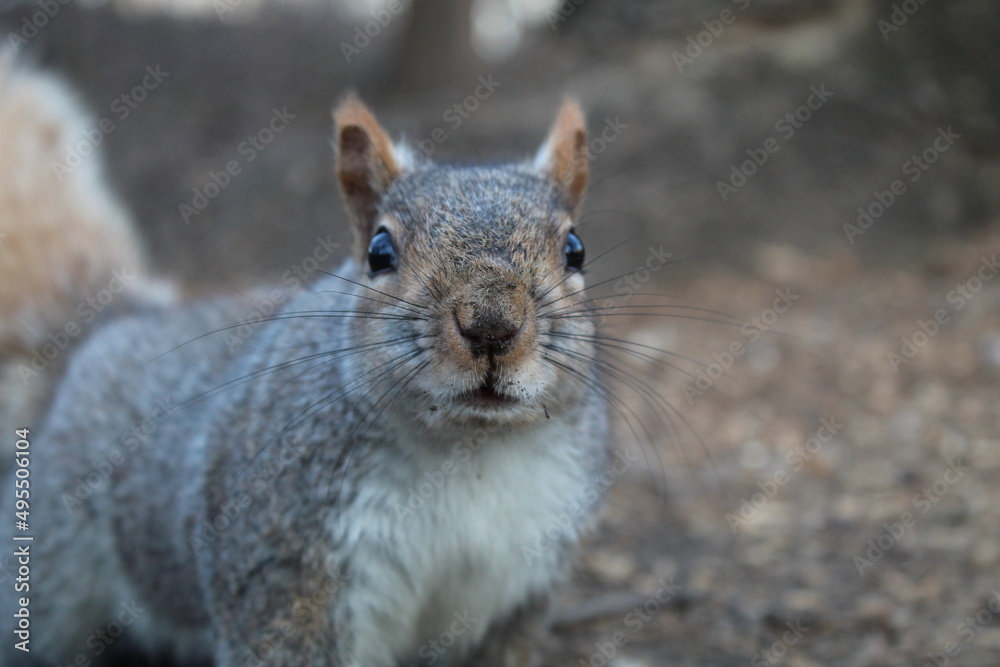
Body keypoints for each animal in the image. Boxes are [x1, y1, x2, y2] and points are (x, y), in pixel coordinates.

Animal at [0, 64, 610, 667]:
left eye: (575, 249)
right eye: (379, 252)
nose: (491, 324)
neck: (469, 453)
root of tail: (107, 332)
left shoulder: (517, 590)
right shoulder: (285, 569)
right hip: (47, 565)